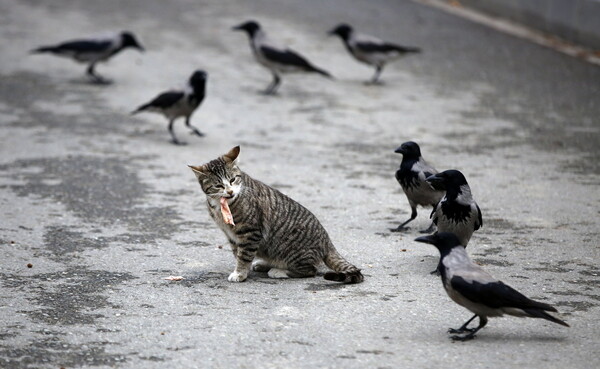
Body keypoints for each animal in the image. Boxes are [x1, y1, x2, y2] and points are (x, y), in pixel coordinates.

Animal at [190, 145, 364, 284]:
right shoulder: (232, 235)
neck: (221, 205)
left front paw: (240, 273)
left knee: (310, 270)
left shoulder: (250, 232)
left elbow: (244, 255)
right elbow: (238, 253)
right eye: (219, 185)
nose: (230, 192)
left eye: (233, 180)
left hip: (290, 249)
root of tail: (326, 240)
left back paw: (279, 271)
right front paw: (241, 269)